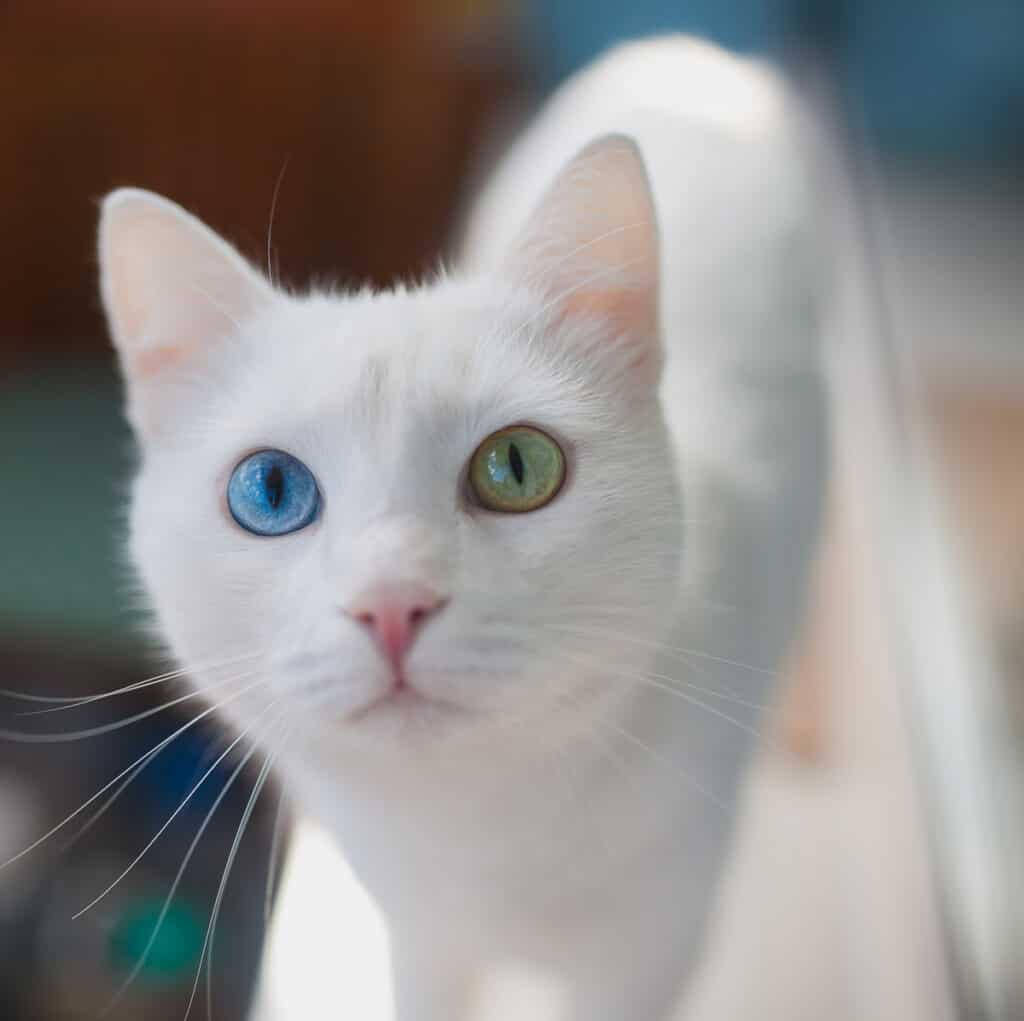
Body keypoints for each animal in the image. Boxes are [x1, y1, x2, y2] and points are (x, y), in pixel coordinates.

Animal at [99, 35, 827, 1015]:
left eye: (517, 466)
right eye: (271, 490)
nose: (392, 603)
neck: (475, 832)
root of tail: (685, 49)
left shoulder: (650, 954)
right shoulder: (419, 934)